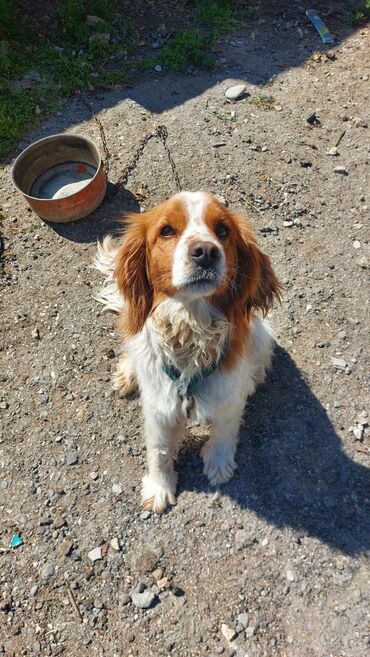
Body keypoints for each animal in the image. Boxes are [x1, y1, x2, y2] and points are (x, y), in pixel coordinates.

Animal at [93, 191, 280, 512]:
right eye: (167, 230)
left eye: (222, 231)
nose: (205, 251)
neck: (191, 326)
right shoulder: (158, 406)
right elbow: (159, 449)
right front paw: (159, 487)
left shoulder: (229, 395)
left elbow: (225, 430)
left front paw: (219, 463)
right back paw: (128, 374)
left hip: (261, 334)